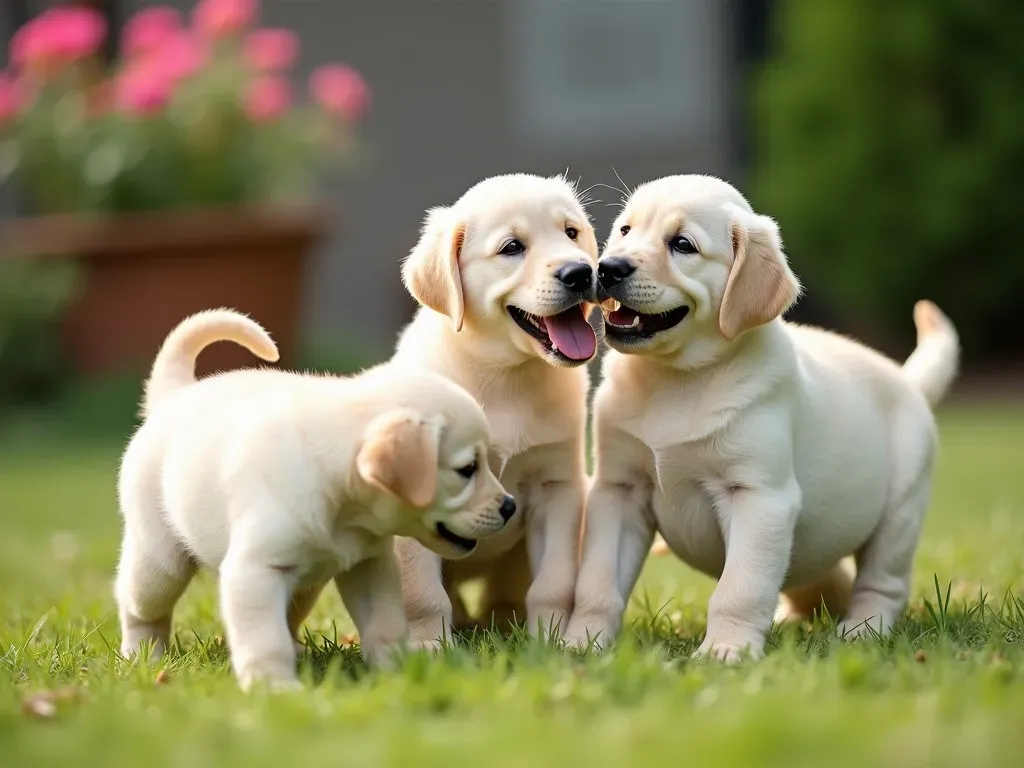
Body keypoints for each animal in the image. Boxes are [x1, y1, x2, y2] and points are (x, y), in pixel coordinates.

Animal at [116, 311, 512, 692]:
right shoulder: (254, 573)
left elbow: (385, 624)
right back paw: (143, 655)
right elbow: (265, 640)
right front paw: (273, 686)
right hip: (159, 565)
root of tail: (174, 396)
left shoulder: (369, 567)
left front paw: (396, 670)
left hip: (305, 586)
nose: (510, 507)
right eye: (467, 469)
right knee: (140, 608)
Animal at [391, 173, 598, 643]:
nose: (581, 272)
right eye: (512, 247)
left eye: (571, 232)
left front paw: (550, 641)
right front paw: (428, 645)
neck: (505, 378)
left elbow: (553, 582)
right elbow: (422, 591)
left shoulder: (556, 488)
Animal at [569, 176, 958, 663]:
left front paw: (725, 650)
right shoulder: (618, 490)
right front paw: (579, 642)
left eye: (682, 244)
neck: (675, 378)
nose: (608, 268)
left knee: (882, 584)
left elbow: (740, 587)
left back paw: (862, 630)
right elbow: (596, 582)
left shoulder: (759, 497)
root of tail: (909, 381)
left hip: (899, 511)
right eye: (625, 230)